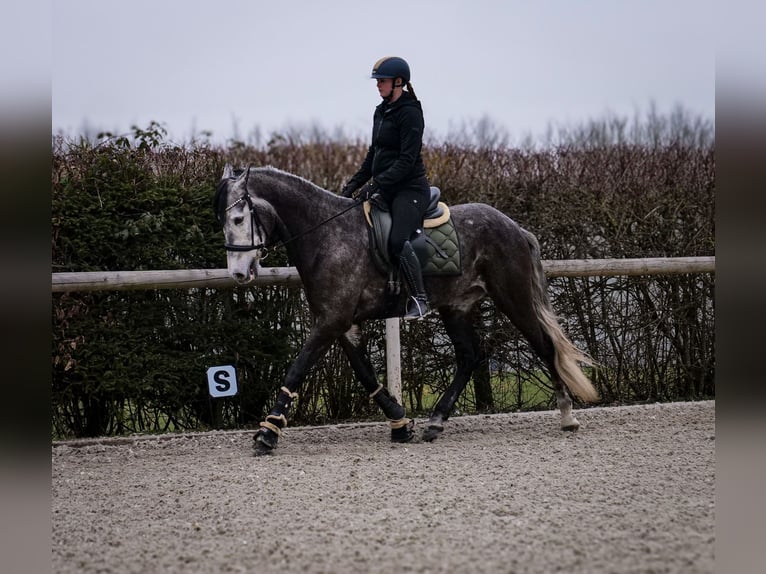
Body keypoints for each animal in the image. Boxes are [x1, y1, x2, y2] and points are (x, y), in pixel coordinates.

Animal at [214, 164, 600, 456]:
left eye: (238, 219)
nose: (238, 274)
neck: (327, 235)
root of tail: (514, 227)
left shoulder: (331, 321)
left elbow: (298, 369)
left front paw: (268, 432)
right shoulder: (343, 323)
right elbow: (365, 374)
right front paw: (400, 423)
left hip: (513, 297)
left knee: (543, 346)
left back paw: (567, 416)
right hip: (455, 308)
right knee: (469, 357)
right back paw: (436, 421)